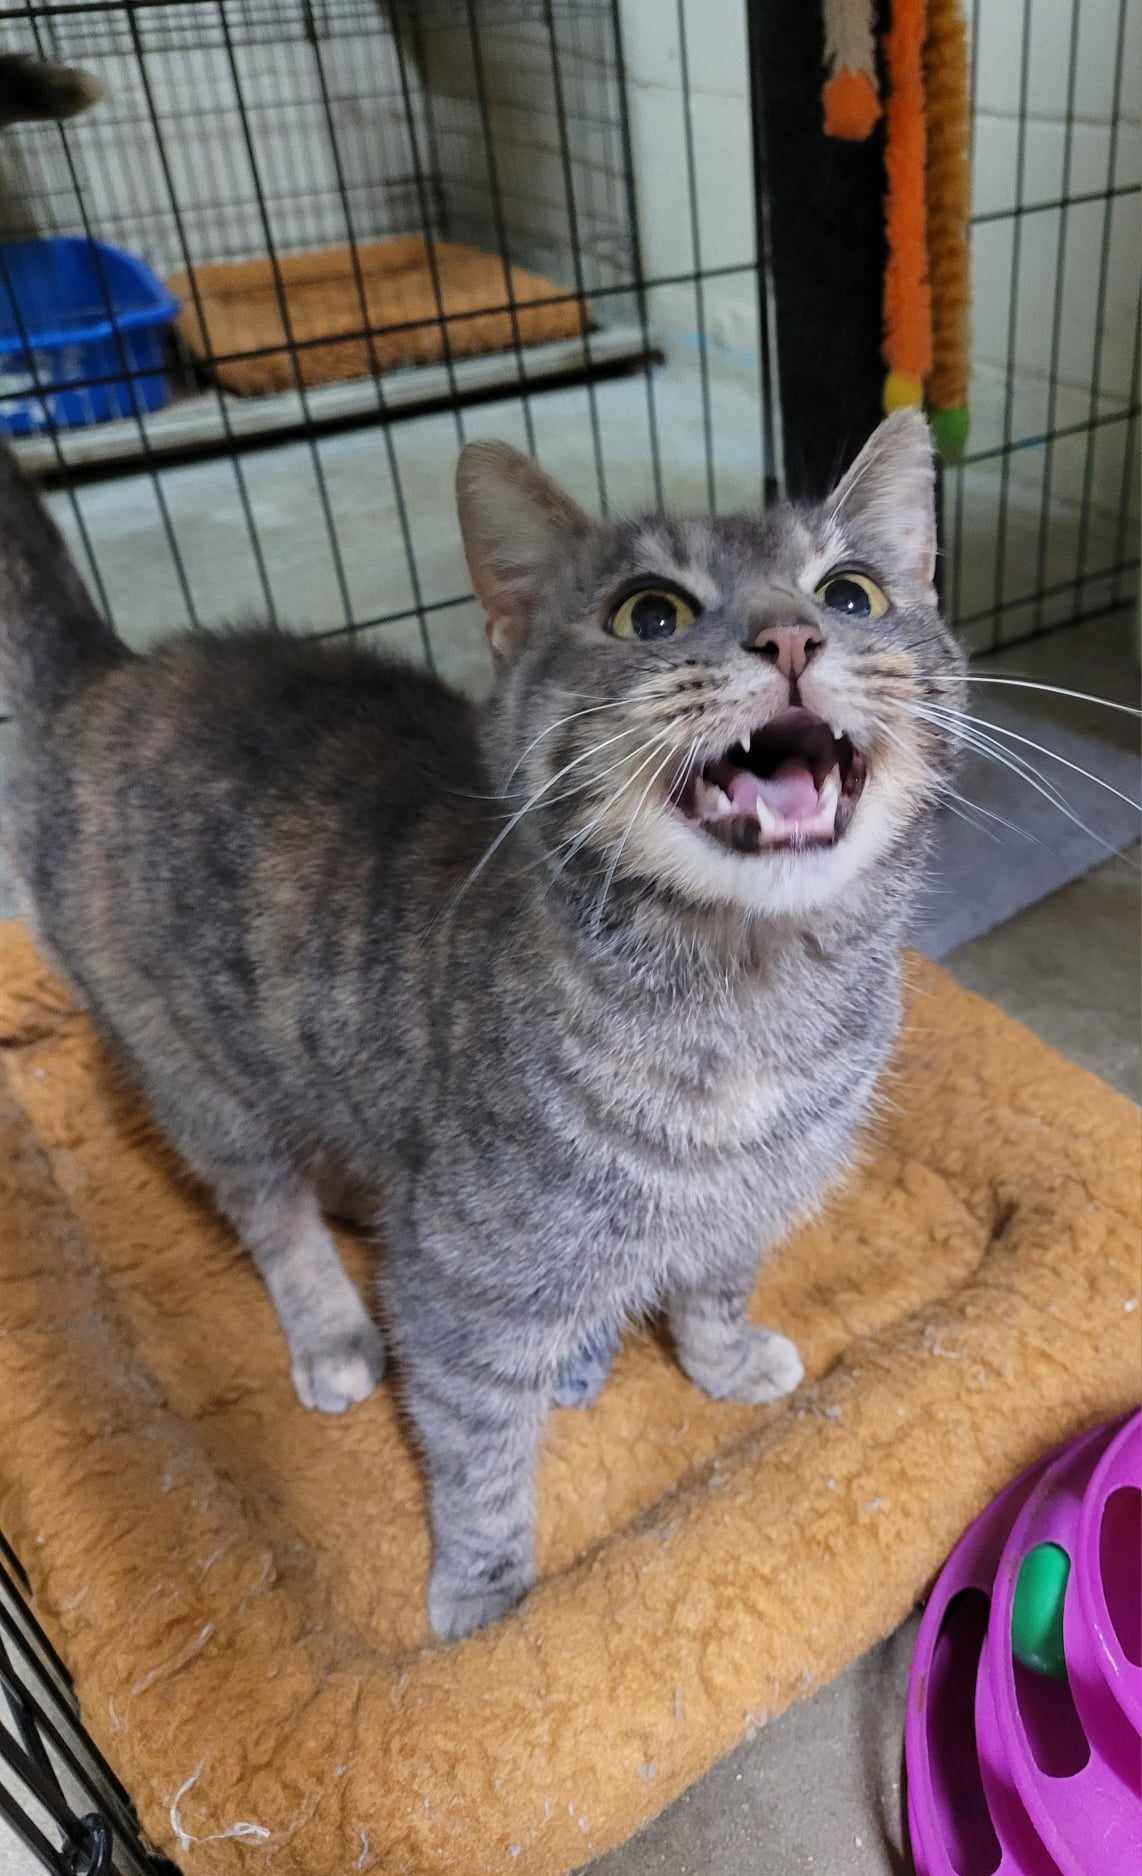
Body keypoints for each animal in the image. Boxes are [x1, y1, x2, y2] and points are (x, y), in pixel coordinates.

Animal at [0, 412, 965, 1639]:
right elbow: (477, 1447)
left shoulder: (744, 1204)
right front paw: (484, 1589)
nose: (792, 635)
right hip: (195, 1078)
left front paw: (719, 1359)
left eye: (850, 594)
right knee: (271, 1213)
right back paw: (331, 1327)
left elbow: (713, 1284)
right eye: (649, 614)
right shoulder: (459, 1287)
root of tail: (112, 672)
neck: (750, 1003)